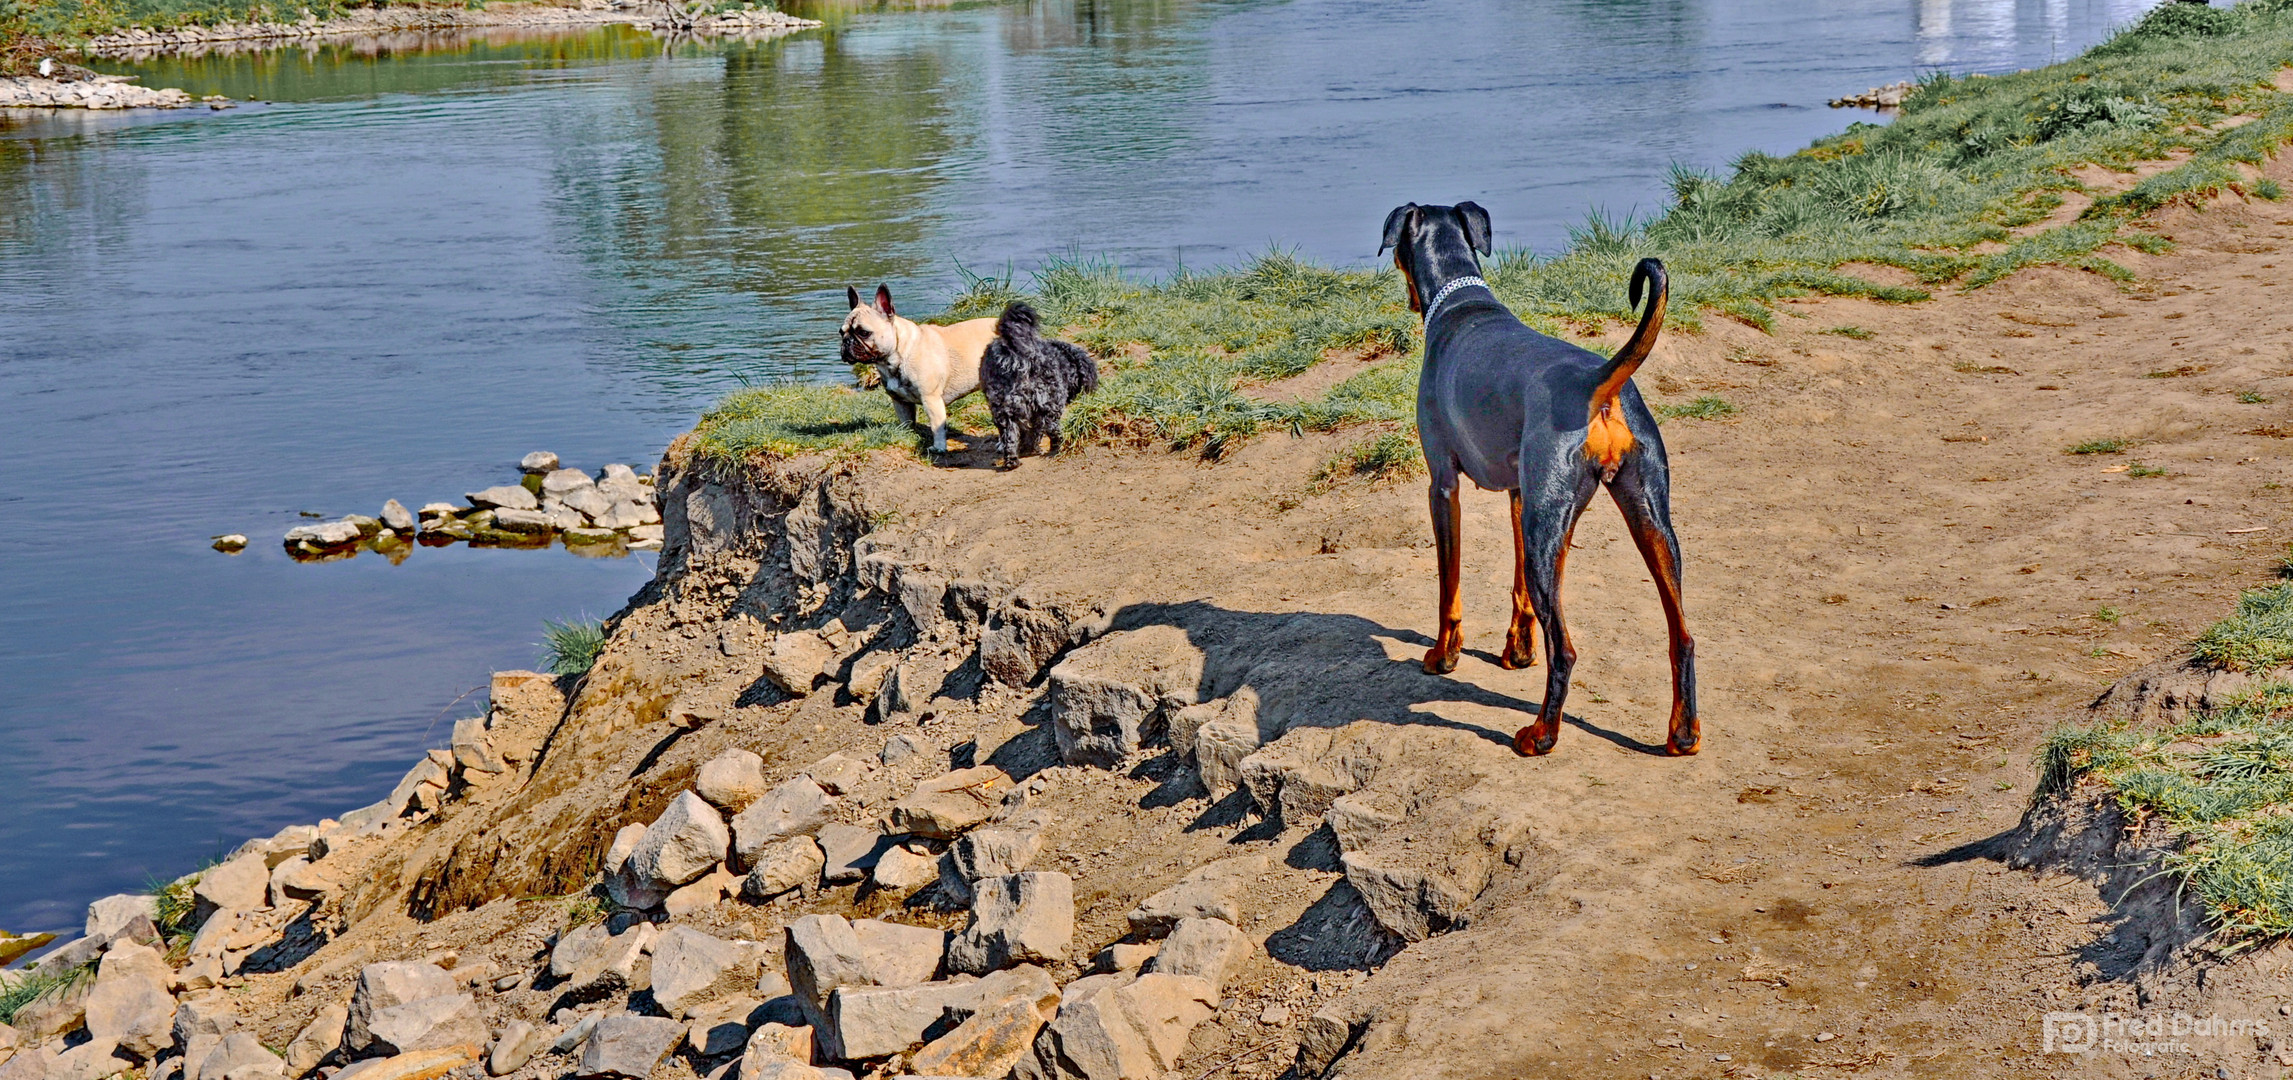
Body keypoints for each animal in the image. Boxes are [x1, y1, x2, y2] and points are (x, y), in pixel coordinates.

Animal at [981, 300, 1096, 470]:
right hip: (1048, 403)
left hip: (1005, 408)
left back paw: (1013, 460)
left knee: (1010, 436)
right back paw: (1053, 447)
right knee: (1051, 429)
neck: (1064, 359)